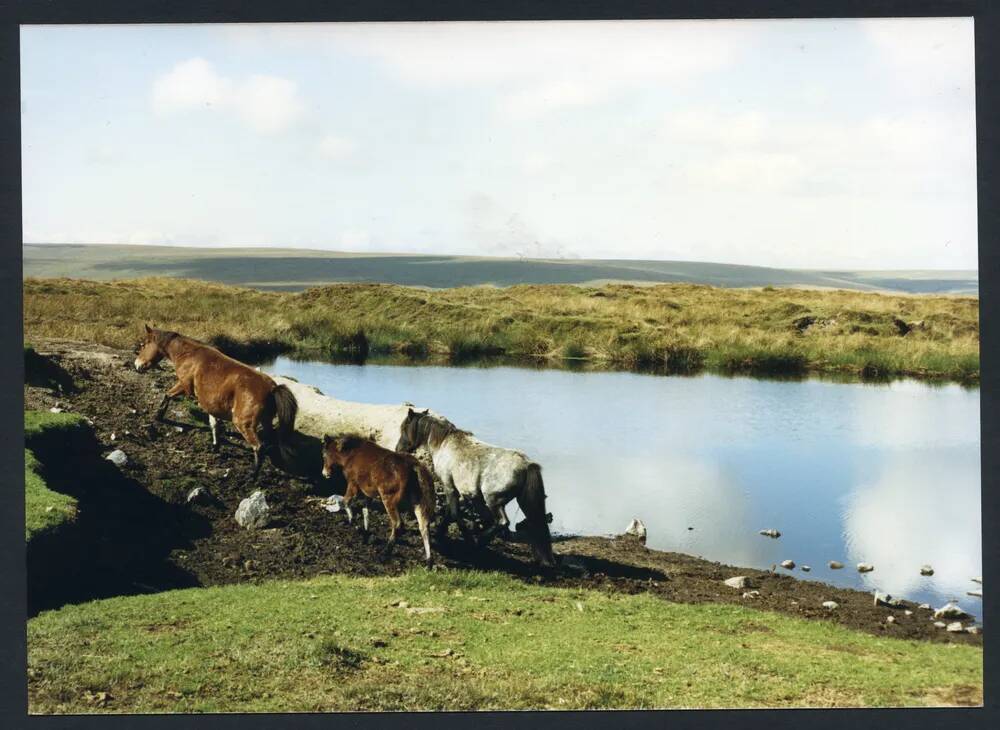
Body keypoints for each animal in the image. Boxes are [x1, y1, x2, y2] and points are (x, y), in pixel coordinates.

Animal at [135, 324, 296, 478]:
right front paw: (215, 446)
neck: (189, 355)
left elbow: (167, 395)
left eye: (143, 345)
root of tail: (273, 388)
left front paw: (158, 416)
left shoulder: (184, 386)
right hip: (266, 421)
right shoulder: (210, 403)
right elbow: (214, 424)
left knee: (258, 447)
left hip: (243, 423)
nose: (137, 366)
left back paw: (253, 475)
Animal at [322, 432, 436, 564]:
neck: (352, 454)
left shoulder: (353, 484)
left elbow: (346, 502)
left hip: (389, 499)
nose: (324, 473)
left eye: (325, 455)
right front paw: (365, 534)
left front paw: (352, 523)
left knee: (398, 523)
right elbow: (365, 510)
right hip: (418, 502)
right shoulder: (368, 493)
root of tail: (413, 466)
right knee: (424, 526)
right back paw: (428, 560)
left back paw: (385, 553)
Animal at [394, 406, 560, 564]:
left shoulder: (449, 487)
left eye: (404, 428)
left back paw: (479, 541)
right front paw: (442, 532)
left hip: (493, 500)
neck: (444, 444)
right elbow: (451, 514)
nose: (398, 449)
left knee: (502, 522)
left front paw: (461, 537)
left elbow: (454, 514)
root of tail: (526, 464)